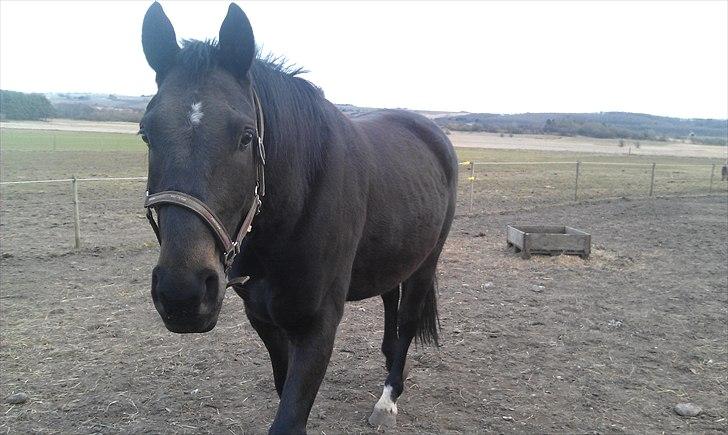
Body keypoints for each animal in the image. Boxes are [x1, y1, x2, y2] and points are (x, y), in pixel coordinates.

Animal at [140, 3, 458, 433]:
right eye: (146, 133)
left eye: (245, 136)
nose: (183, 293)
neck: (291, 214)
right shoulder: (264, 318)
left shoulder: (317, 325)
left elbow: (289, 418)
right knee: (391, 298)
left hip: (427, 261)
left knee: (407, 319)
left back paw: (388, 399)